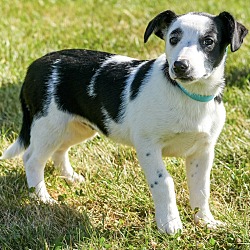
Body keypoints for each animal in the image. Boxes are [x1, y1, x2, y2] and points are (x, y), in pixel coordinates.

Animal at [0, 10, 248, 234]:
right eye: (173, 39)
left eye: (208, 42)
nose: (180, 66)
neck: (188, 95)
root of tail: (33, 66)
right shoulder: (148, 146)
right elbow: (164, 182)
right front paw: (170, 225)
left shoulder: (203, 152)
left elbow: (201, 188)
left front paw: (205, 221)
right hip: (49, 126)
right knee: (32, 159)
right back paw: (42, 197)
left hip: (76, 127)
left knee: (59, 151)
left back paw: (70, 178)